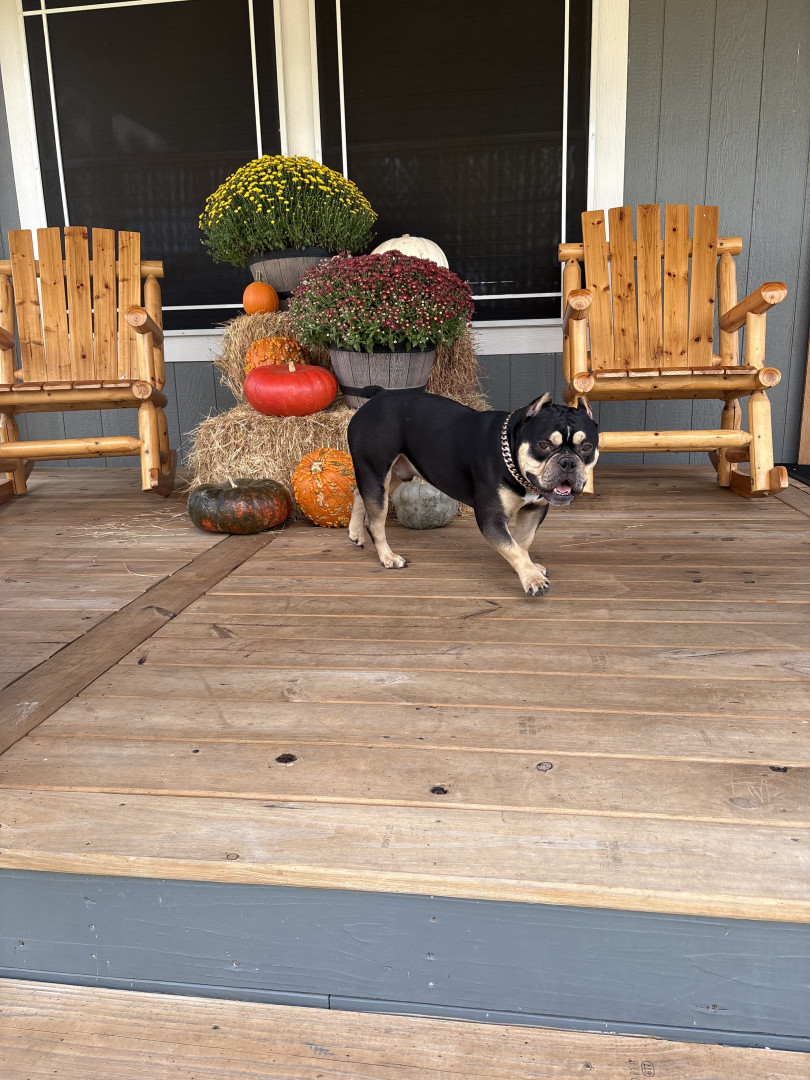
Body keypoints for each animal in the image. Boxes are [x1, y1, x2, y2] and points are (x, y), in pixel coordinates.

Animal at [347, 389, 599, 595]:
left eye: (587, 447)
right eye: (544, 445)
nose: (568, 462)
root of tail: (379, 395)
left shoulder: (534, 510)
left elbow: (523, 541)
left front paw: (529, 567)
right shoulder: (491, 517)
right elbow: (513, 547)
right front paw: (532, 579)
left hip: (397, 474)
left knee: (360, 494)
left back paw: (355, 534)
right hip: (376, 472)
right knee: (376, 521)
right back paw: (388, 557)